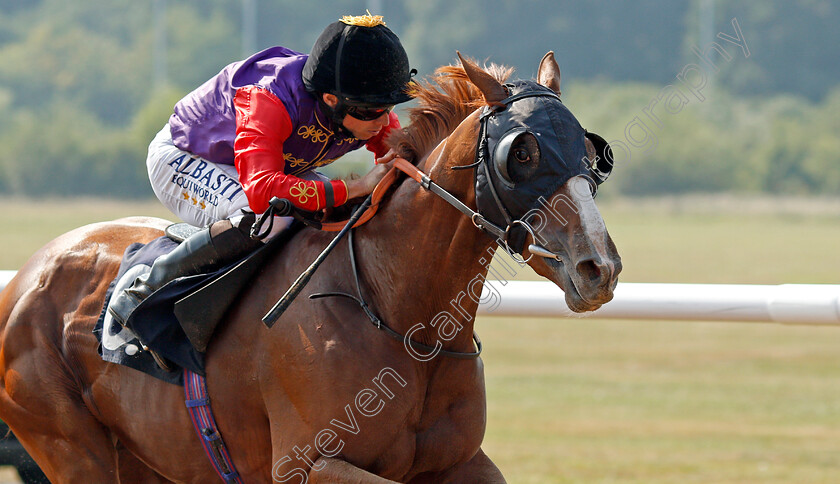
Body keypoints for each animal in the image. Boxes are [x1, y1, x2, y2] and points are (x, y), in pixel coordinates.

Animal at [0, 53, 616, 480]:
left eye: (592, 152)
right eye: (523, 153)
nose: (600, 268)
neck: (402, 317)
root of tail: (24, 279)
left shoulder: (461, 462)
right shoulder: (306, 464)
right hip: (70, 446)